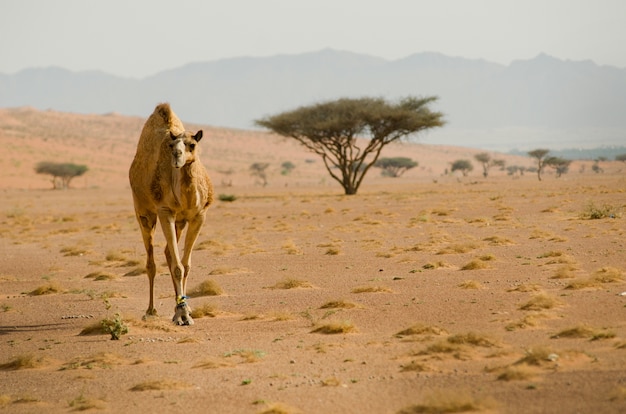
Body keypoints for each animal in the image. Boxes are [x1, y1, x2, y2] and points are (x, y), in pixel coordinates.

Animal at [128, 102, 213, 326]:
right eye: (171, 146)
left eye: (192, 144)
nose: (177, 156)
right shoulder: (165, 211)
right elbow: (178, 267)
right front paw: (181, 314)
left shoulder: (199, 215)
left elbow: (185, 265)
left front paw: (186, 310)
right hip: (144, 212)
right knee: (151, 262)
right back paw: (150, 310)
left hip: (180, 222)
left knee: (168, 252)